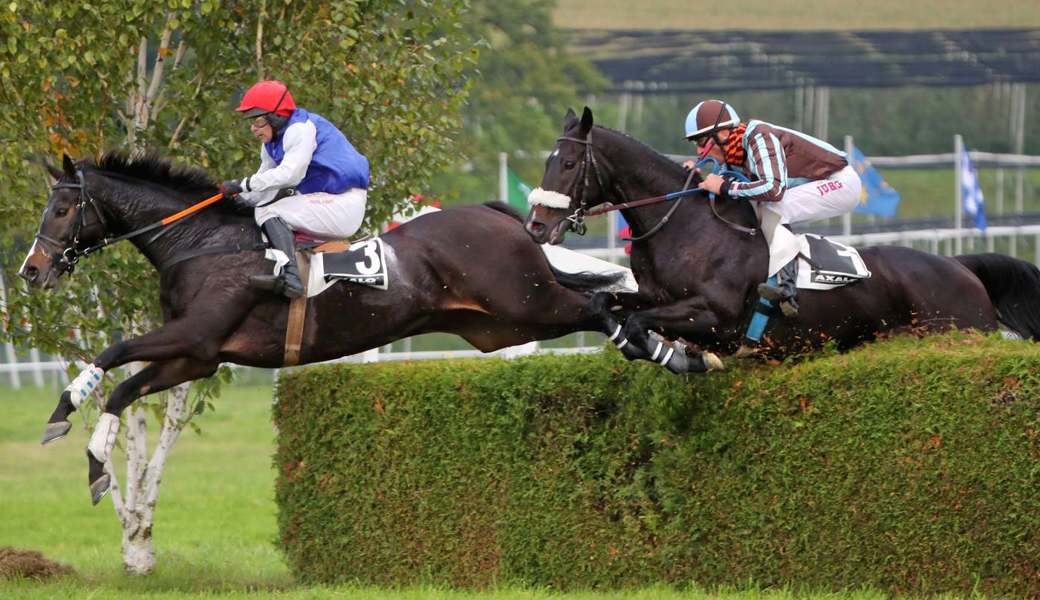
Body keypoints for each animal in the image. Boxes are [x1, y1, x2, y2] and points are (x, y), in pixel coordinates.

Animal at [20, 151, 619, 503]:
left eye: (62, 210)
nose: (31, 270)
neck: (200, 243)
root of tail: (503, 217)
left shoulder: (194, 336)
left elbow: (111, 352)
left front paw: (62, 410)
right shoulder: (201, 354)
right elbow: (124, 389)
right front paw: (96, 466)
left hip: (529, 301)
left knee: (602, 305)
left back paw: (642, 347)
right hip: (501, 325)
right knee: (599, 298)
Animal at [524, 106, 1040, 372]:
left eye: (567, 163)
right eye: (547, 159)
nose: (535, 226)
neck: (683, 226)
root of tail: (960, 266)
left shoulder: (717, 316)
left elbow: (637, 323)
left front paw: (683, 358)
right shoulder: (655, 298)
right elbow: (606, 306)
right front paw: (651, 347)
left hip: (958, 330)